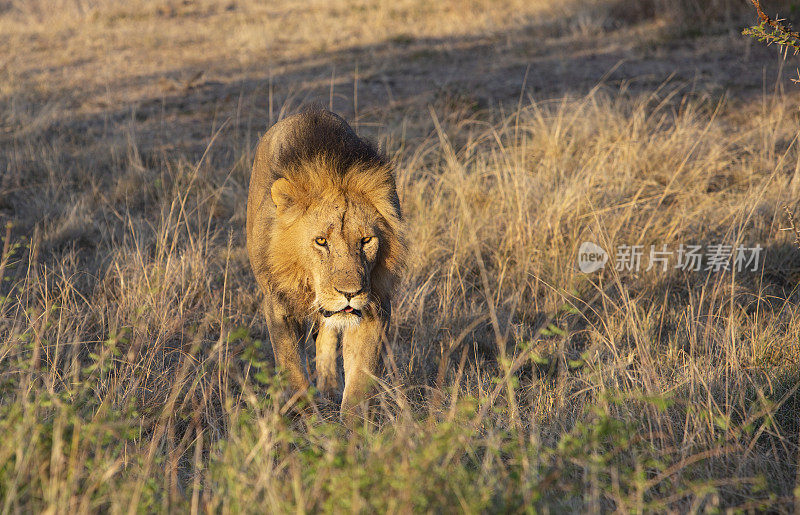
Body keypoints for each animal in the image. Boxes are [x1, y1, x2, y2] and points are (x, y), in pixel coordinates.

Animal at [245, 109, 406, 416]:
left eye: (366, 240)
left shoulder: (376, 306)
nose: (350, 293)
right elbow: (293, 369)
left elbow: (360, 379)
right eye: (321, 241)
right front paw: (307, 418)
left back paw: (329, 387)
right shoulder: (278, 305)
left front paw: (352, 425)